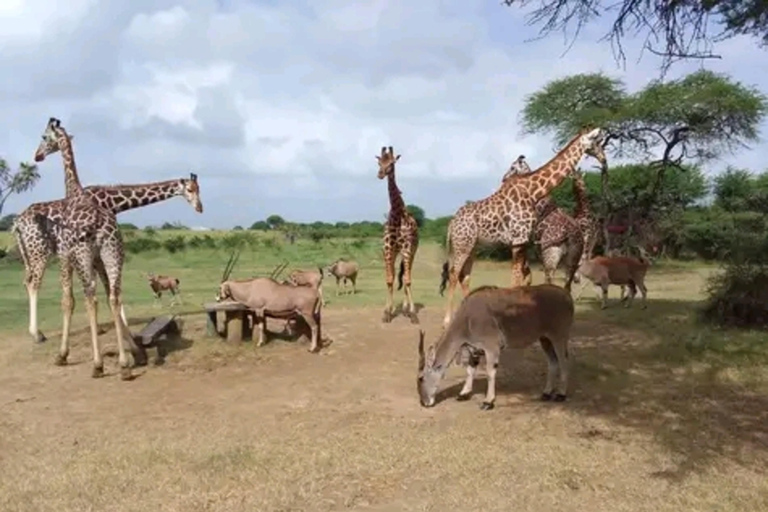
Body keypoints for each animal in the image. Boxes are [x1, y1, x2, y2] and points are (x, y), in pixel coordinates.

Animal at [13, 174, 204, 344]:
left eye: (198, 188)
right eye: (189, 189)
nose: (200, 207)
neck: (113, 201)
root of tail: (17, 223)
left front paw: (101, 327)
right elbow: (108, 287)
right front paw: (120, 326)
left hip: (29, 254)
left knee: (26, 281)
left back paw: (38, 332)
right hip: (39, 251)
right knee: (34, 284)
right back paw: (37, 335)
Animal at [25, 117, 135, 379]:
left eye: (44, 137)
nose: (37, 155)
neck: (74, 192)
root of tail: (101, 228)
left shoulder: (65, 255)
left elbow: (68, 301)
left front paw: (62, 355)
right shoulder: (97, 260)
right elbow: (108, 297)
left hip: (82, 256)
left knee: (90, 298)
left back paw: (97, 365)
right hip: (113, 254)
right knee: (114, 296)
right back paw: (124, 366)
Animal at [440, 127, 607, 327]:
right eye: (596, 141)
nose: (604, 159)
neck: (533, 192)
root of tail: (452, 223)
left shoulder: (523, 241)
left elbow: (522, 277)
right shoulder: (519, 239)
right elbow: (518, 278)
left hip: (472, 246)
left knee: (464, 276)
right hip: (462, 244)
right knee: (453, 274)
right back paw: (447, 321)